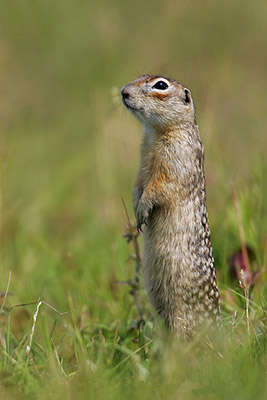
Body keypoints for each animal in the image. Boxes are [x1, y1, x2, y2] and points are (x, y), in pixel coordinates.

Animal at [122, 74, 221, 334]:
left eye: (160, 85)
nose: (123, 92)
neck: (155, 133)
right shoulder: (142, 163)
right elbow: (138, 184)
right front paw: (137, 209)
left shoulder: (176, 159)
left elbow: (160, 187)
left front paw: (143, 210)